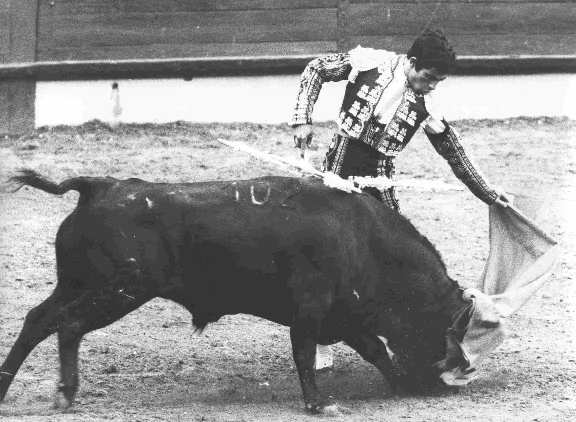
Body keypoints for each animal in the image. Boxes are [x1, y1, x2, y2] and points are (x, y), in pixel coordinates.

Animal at [0, 169, 476, 414]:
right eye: (446, 331)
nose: (442, 385)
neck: (362, 238)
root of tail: (100, 187)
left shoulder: (344, 313)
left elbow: (375, 349)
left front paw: (398, 384)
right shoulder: (313, 308)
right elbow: (305, 353)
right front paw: (319, 404)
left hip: (77, 283)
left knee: (37, 321)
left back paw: (6, 387)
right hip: (122, 289)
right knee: (69, 325)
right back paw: (66, 394)